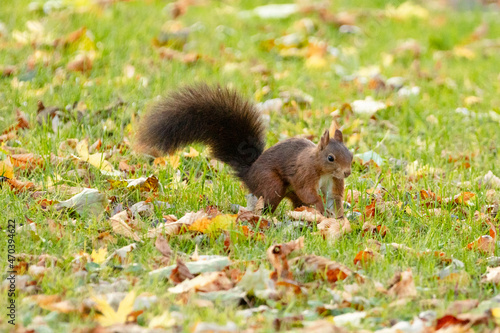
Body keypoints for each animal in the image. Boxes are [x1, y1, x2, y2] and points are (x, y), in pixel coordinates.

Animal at [135, 83, 354, 215]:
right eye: (331, 158)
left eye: (351, 155)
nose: (347, 172)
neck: (323, 170)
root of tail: (249, 173)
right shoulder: (304, 173)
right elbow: (308, 192)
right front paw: (319, 206)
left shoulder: (333, 182)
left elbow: (334, 198)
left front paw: (338, 218)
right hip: (272, 184)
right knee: (269, 202)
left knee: (295, 202)